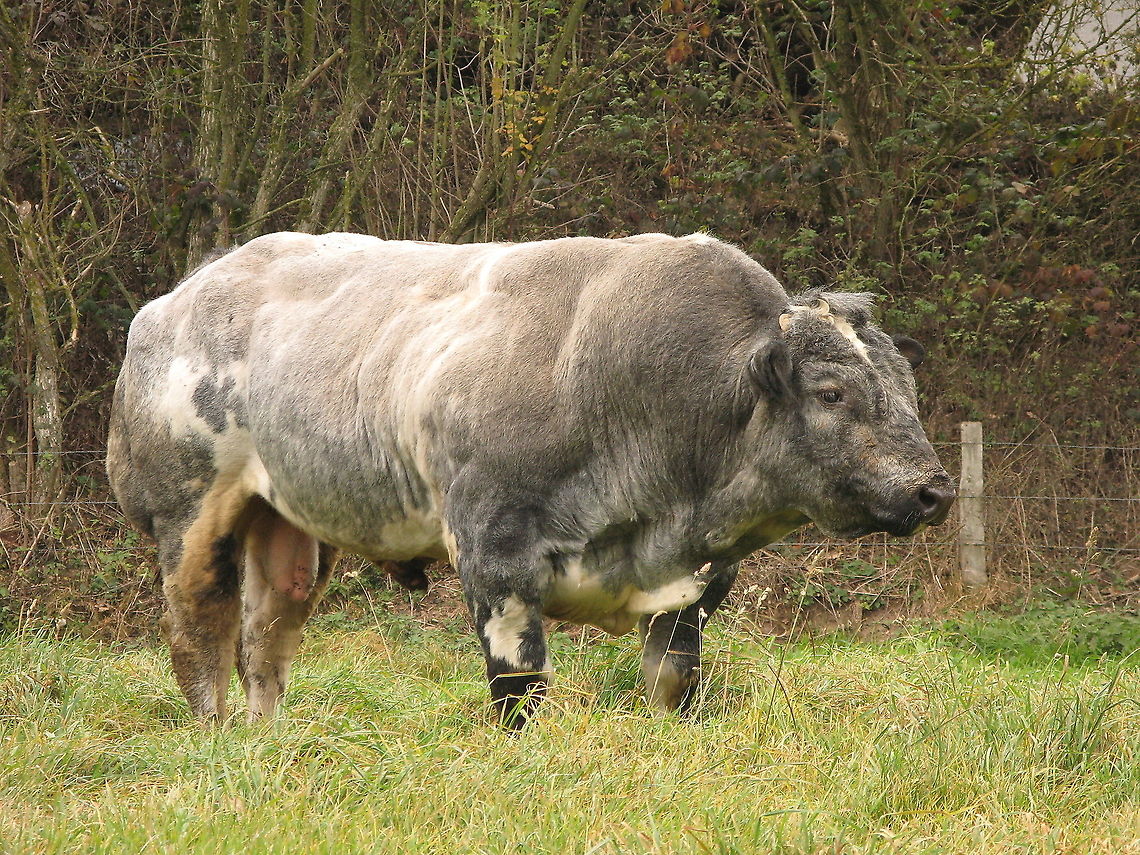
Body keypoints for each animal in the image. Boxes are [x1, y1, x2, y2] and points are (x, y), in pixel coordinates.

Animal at [107, 231, 955, 727]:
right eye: (832, 392)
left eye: (907, 385)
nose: (935, 489)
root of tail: (180, 295)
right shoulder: (495, 553)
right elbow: (520, 688)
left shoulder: (695, 584)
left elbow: (673, 684)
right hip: (188, 514)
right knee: (199, 634)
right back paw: (216, 735)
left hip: (290, 528)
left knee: (264, 641)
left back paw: (266, 741)